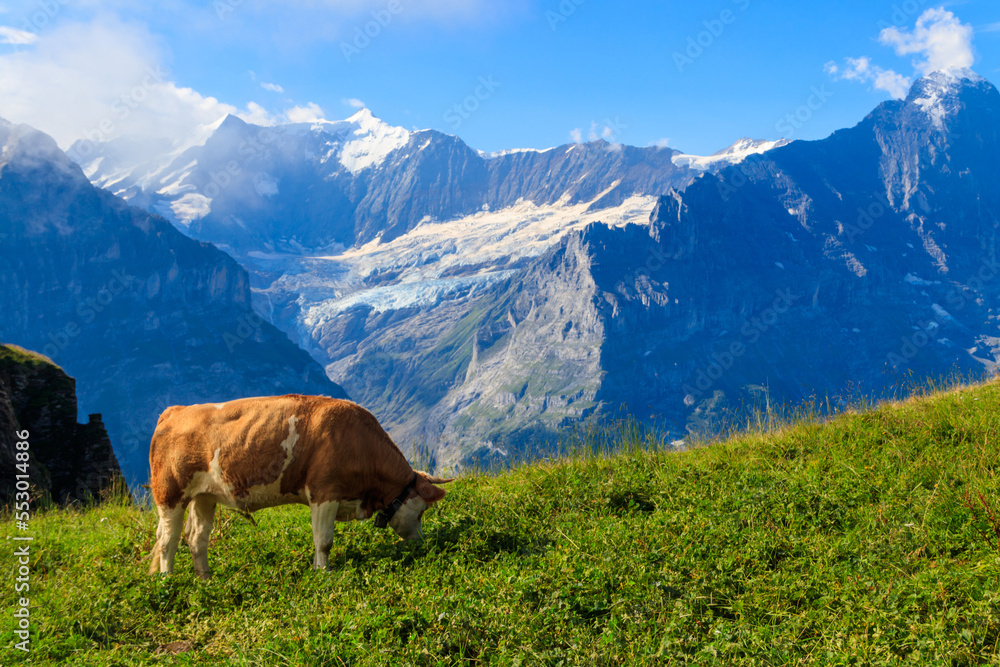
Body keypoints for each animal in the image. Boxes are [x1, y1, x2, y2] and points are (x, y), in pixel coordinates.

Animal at [149, 396, 454, 580]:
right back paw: (167, 580)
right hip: (170, 493)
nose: (422, 543)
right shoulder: (324, 492)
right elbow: (324, 540)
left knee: (196, 537)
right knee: (167, 539)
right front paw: (323, 573)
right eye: (422, 512)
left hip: (204, 497)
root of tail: (175, 411)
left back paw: (206, 578)